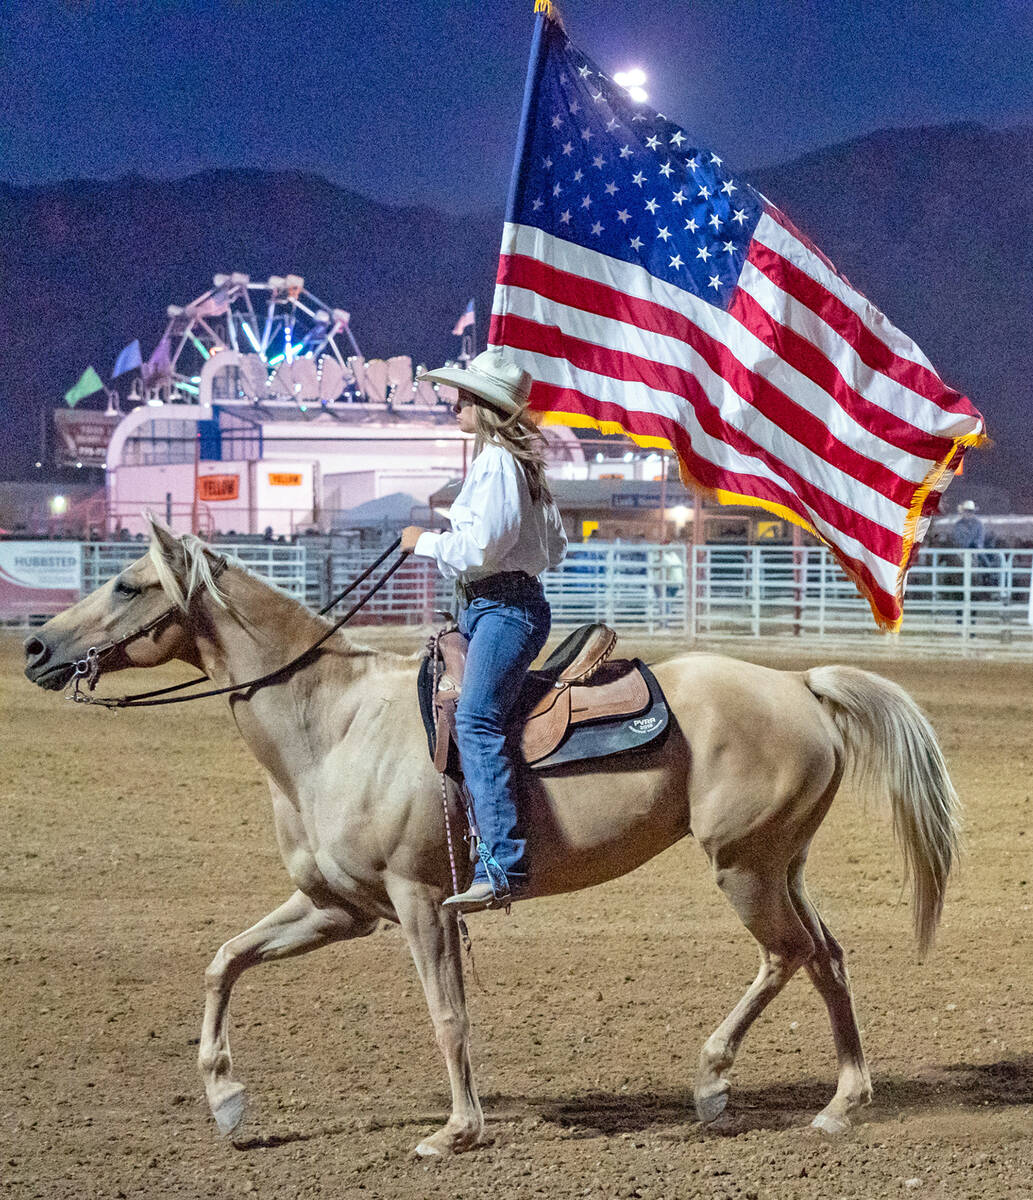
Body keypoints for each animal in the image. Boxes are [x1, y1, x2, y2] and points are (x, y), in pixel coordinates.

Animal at [24, 525, 959, 1152]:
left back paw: (711, 1082)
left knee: (785, 955)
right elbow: (224, 960)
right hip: (781, 864)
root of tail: (800, 685)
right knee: (826, 956)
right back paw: (838, 1102)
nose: (35, 646)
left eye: (128, 586)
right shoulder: (336, 907)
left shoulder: (419, 901)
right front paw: (225, 1101)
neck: (333, 725)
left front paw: (458, 1130)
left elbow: (447, 1012)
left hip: (743, 867)